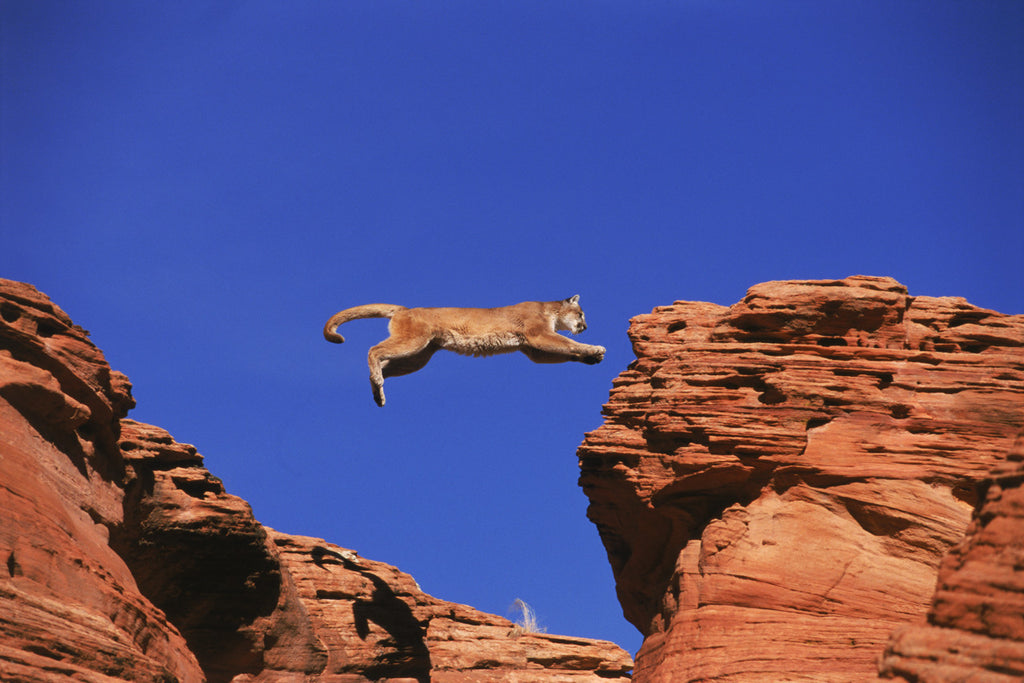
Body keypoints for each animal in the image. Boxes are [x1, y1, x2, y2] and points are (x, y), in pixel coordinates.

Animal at [323, 295, 606, 406]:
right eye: (581, 314)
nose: (585, 325)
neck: (549, 309)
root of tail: (405, 309)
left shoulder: (531, 348)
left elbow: (564, 351)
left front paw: (592, 357)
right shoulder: (538, 335)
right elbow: (567, 343)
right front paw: (595, 347)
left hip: (418, 356)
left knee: (385, 364)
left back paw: (378, 391)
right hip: (413, 342)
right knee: (373, 350)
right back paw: (377, 381)